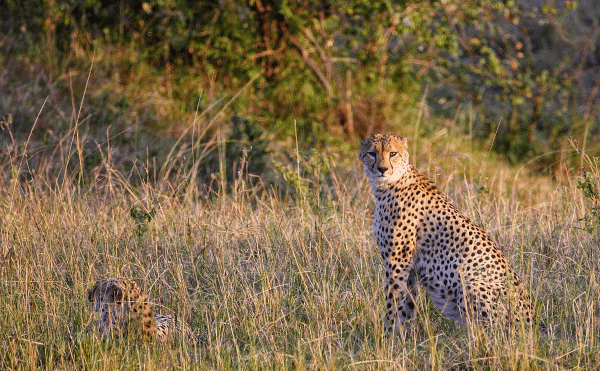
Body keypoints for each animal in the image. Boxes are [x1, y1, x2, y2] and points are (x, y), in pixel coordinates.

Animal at [360, 135, 536, 332]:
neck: (389, 185)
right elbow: (407, 306)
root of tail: (532, 322)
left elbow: (393, 303)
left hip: (472, 284)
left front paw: (387, 335)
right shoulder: (411, 269)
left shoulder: (398, 262)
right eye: (372, 153)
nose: (382, 169)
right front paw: (404, 335)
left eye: (392, 153)